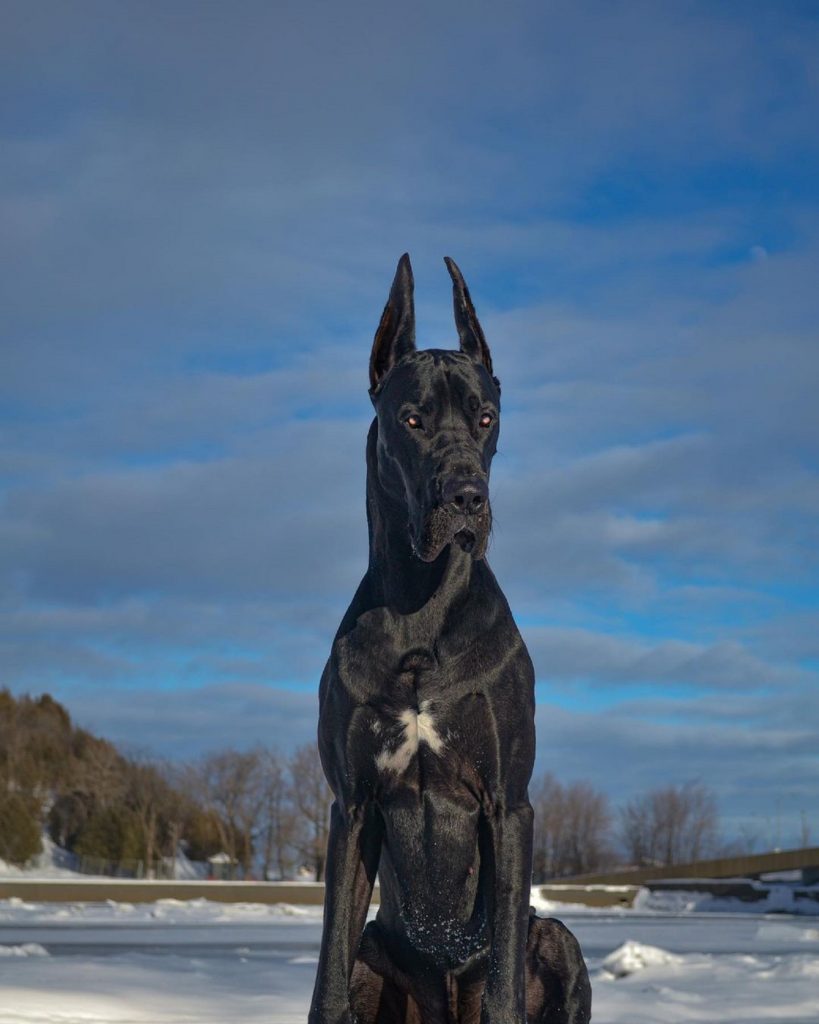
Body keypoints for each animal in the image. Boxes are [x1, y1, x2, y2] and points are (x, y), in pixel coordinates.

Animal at [307, 256, 589, 1024]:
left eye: (486, 417)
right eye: (412, 420)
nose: (467, 496)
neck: (420, 611)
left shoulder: (507, 802)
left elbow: (502, 988)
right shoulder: (352, 807)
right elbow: (327, 976)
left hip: (557, 939)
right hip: (379, 948)